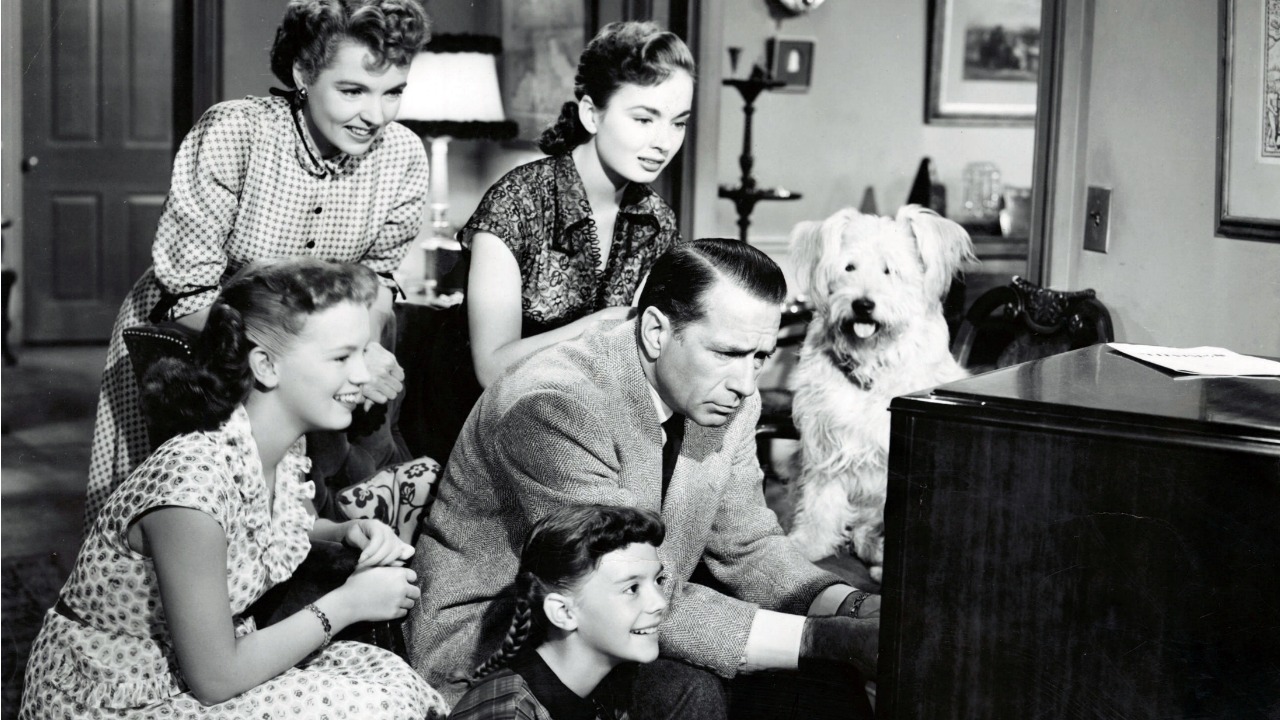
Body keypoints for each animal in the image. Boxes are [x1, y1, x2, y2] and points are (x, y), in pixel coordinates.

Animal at [786, 205, 974, 581]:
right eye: (849, 267)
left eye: (890, 270)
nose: (862, 305)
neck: (871, 363)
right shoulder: (824, 441)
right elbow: (819, 498)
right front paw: (809, 543)